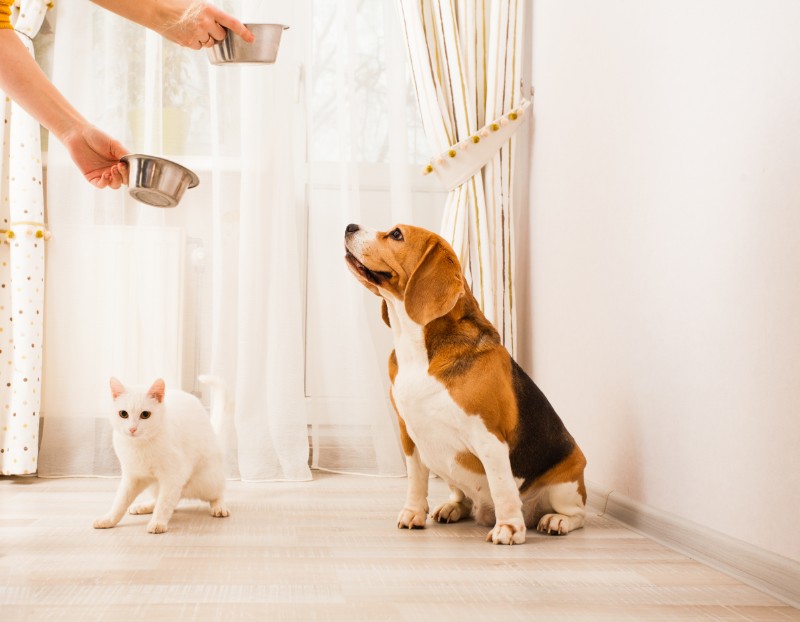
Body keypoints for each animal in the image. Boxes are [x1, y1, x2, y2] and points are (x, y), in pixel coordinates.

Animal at [95, 378, 231, 532]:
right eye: (123, 414)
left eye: (145, 414)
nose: (132, 429)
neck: (140, 445)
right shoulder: (132, 476)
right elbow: (120, 501)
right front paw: (108, 519)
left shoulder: (173, 477)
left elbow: (164, 503)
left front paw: (158, 522)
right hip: (156, 485)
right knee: (169, 500)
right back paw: (144, 506)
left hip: (206, 479)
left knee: (216, 492)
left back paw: (219, 506)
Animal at [344, 224, 588, 544]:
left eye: (396, 234)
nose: (349, 227)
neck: (416, 347)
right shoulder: (408, 433)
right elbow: (416, 480)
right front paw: (413, 513)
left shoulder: (489, 437)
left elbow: (502, 486)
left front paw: (509, 528)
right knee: (463, 497)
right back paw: (453, 507)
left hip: (568, 481)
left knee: (577, 515)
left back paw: (556, 521)